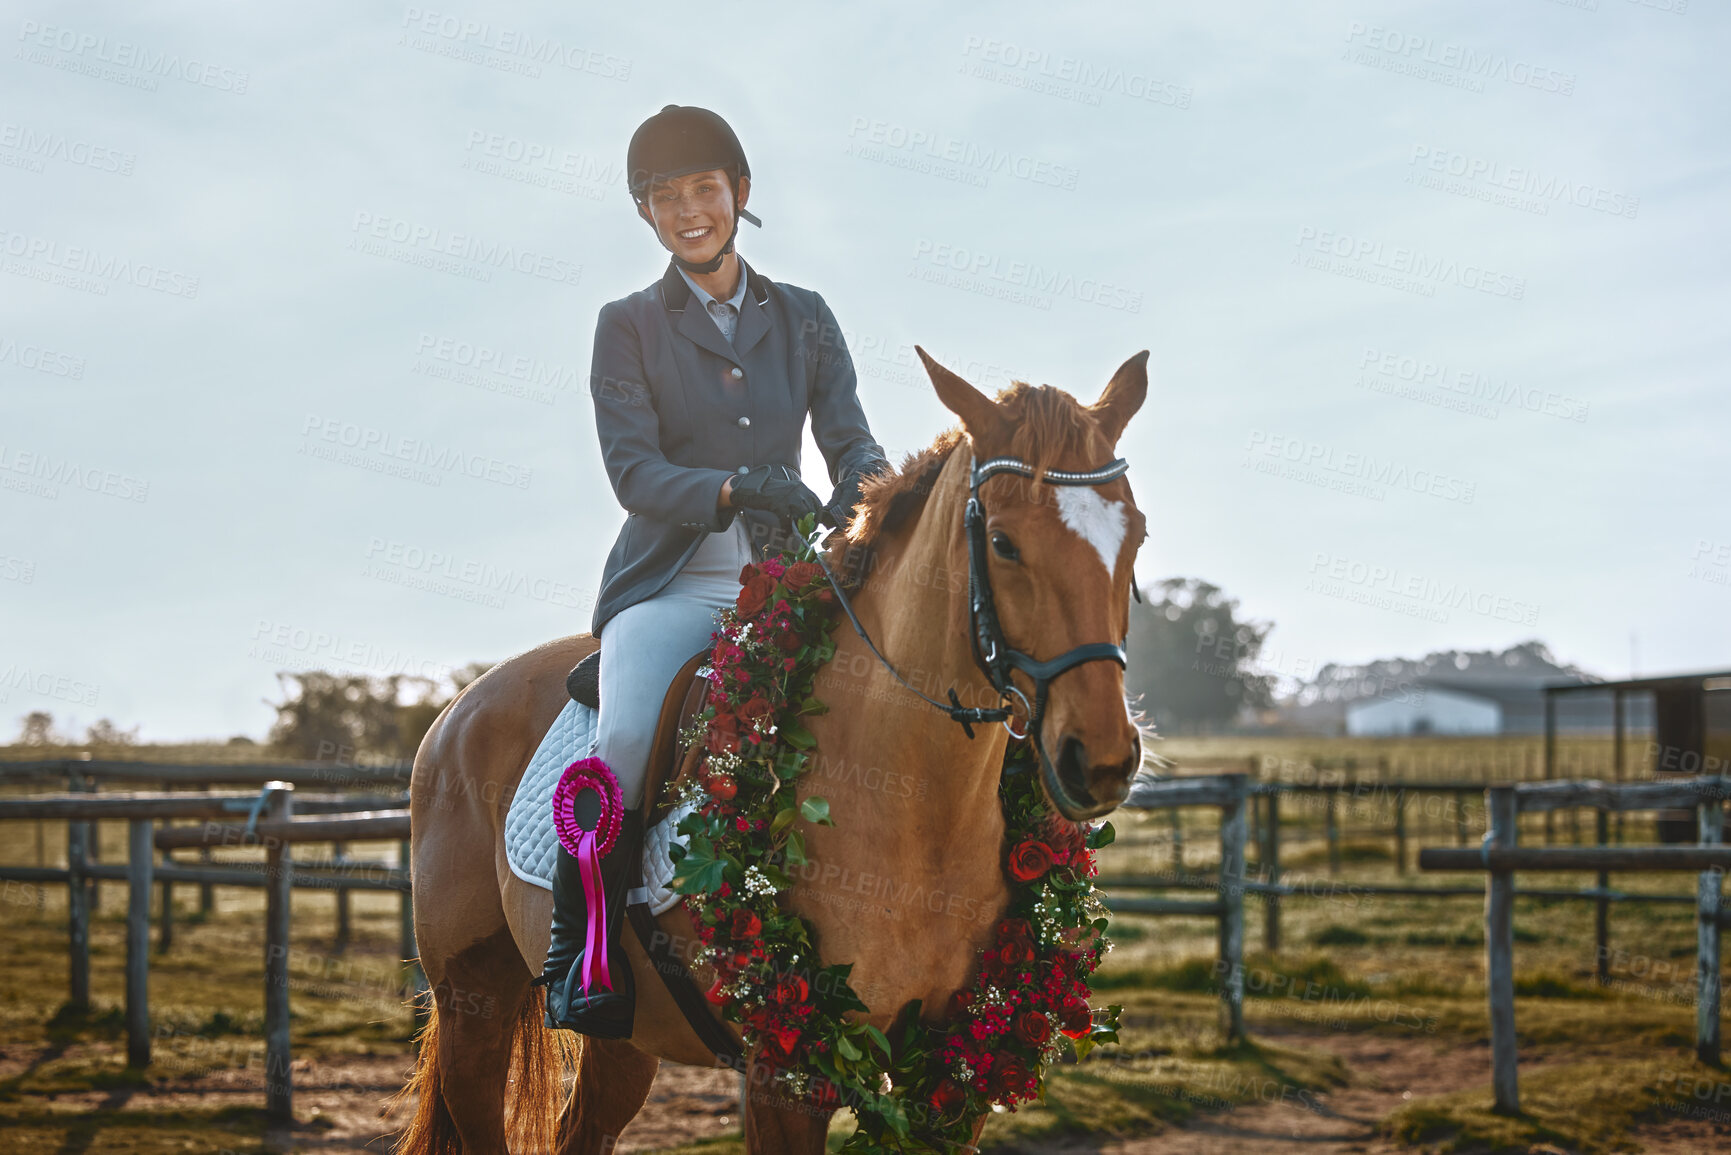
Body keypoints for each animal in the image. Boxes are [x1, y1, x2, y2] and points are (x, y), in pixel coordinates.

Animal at [392, 349, 1149, 1155]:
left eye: (1135, 536)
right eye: (1003, 543)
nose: (1100, 760)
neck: (916, 808)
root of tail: (457, 709)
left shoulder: (958, 1071)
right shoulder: (784, 1073)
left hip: (627, 1036)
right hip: (474, 1001)